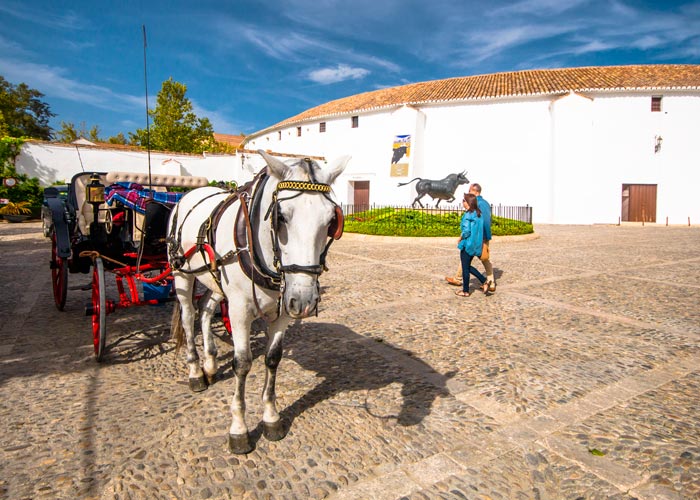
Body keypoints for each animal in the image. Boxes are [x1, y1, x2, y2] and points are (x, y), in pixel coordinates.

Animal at [167, 149, 348, 454]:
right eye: (280, 217)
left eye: (331, 222)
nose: (306, 301)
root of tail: (191, 193)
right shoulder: (239, 311)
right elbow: (242, 364)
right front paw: (239, 429)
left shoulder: (283, 311)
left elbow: (272, 359)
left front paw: (271, 417)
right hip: (181, 274)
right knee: (188, 316)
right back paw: (195, 372)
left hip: (215, 281)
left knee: (205, 310)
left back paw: (210, 364)